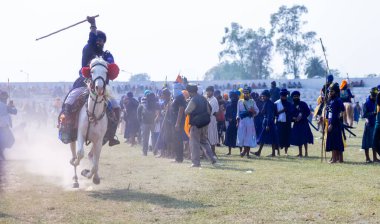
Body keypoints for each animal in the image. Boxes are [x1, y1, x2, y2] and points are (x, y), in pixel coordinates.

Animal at [70, 57, 110, 188]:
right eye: (92, 71)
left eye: (106, 72)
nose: (99, 88)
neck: (93, 114)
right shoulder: (80, 134)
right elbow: (80, 153)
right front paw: (76, 164)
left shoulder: (99, 140)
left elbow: (95, 163)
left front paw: (90, 174)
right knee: (75, 152)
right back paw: (75, 179)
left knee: (91, 156)